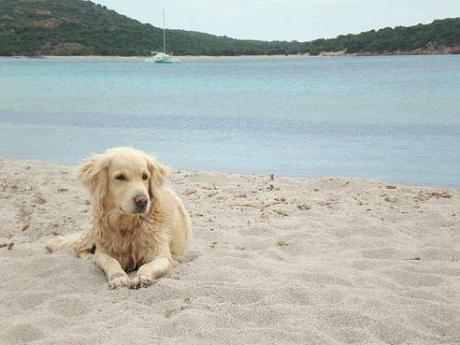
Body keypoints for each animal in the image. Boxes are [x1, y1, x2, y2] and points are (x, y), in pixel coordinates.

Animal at [46, 147, 190, 288]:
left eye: (145, 176)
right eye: (120, 177)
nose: (142, 201)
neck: (126, 224)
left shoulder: (161, 255)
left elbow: (146, 266)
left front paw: (141, 277)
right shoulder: (103, 251)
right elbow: (111, 261)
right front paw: (118, 277)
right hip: (95, 231)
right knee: (79, 248)